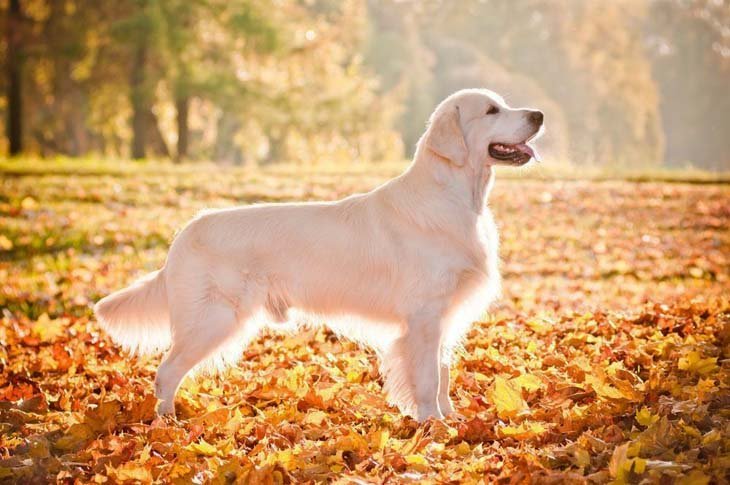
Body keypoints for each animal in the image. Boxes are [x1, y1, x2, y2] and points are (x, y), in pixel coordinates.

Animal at [94, 89, 540, 422]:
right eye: (491, 110)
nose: (538, 114)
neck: (455, 197)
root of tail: (183, 235)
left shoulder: (444, 317)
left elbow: (444, 374)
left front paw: (451, 420)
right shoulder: (424, 317)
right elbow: (428, 379)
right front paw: (431, 425)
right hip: (212, 319)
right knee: (165, 372)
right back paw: (167, 425)